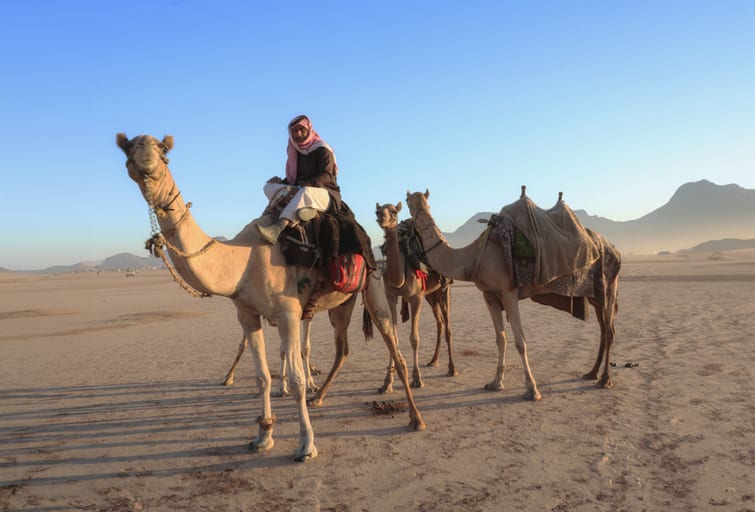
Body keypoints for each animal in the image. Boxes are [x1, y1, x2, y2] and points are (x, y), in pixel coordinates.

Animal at [116, 133, 425, 462]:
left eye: (163, 151)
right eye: (128, 149)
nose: (144, 161)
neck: (243, 260)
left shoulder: (288, 314)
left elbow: (297, 379)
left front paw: (306, 445)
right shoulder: (248, 315)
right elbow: (263, 376)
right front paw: (263, 435)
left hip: (375, 287)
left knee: (395, 350)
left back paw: (415, 418)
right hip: (341, 304)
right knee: (342, 348)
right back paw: (320, 397)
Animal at [375, 201, 457, 391]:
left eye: (394, 211)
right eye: (377, 211)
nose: (381, 219)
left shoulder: (416, 297)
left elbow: (414, 339)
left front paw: (417, 378)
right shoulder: (391, 296)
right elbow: (393, 337)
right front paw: (387, 382)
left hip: (444, 289)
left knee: (448, 327)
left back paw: (452, 369)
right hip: (431, 295)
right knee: (440, 322)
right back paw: (433, 360)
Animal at [405, 189, 621, 401]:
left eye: (410, 202)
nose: (410, 221)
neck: (473, 257)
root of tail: (614, 249)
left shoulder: (509, 293)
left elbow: (520, 341)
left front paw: (532, 390)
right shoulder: (489, 295)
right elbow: (501, 338)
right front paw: (496, 383)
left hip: (609, 286)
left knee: (609, 330)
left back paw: (605, 380)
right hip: (594, 295)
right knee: (604, 329)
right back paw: (592, 373)